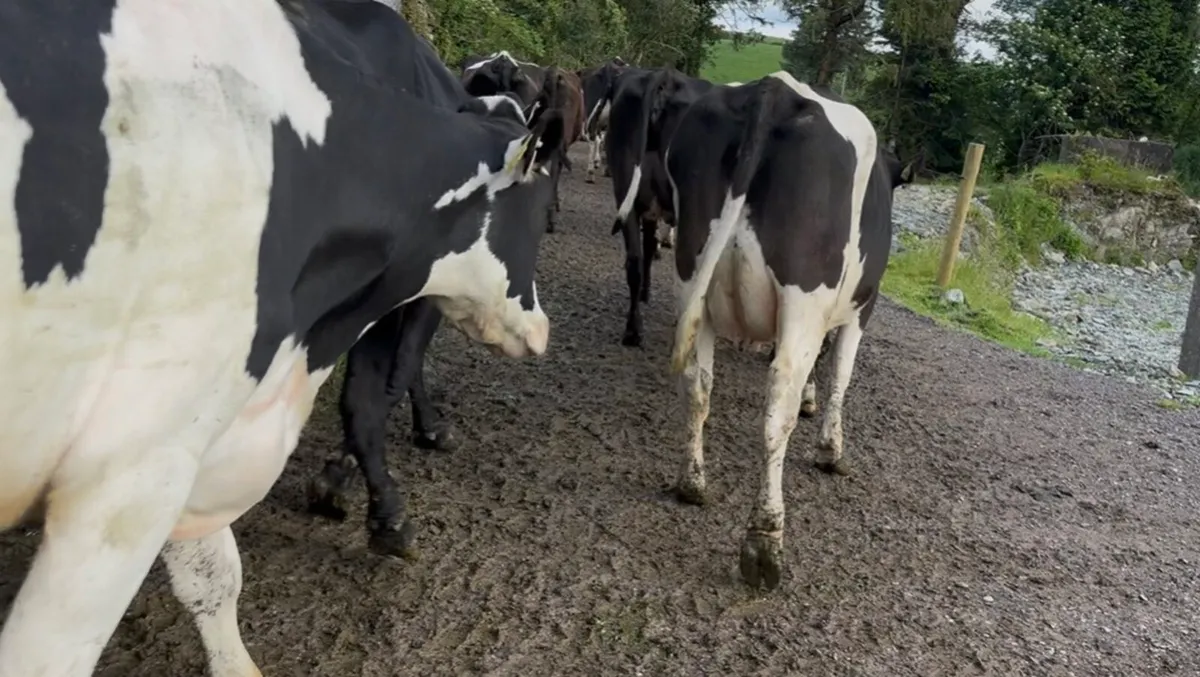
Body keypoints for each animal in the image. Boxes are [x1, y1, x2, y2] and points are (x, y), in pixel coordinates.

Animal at [0, 1, 565, 675]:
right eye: (538, 205)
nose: (541, 330)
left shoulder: (195, 436)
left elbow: (213, 575)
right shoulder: (131, 469)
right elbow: (379, 392)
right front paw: (385, 511)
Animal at [627, 71, 912, 591]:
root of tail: (774, 90)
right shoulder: (863, 307)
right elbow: (840, 375)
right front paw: (830, 448)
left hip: (692, 277)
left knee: (697, 385)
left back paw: (692, 484)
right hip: (805, 295)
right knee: (777, 404)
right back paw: (765, 541)